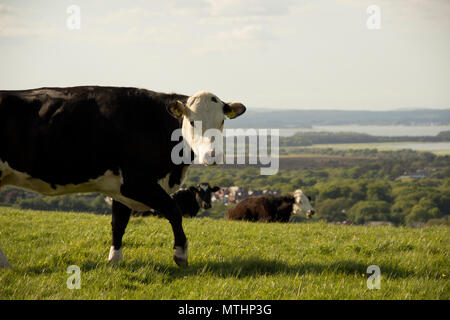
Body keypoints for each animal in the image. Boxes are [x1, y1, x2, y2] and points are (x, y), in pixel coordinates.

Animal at [0, 85, 246, 268]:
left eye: (222, 121)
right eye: (193, 121)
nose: (213, 155)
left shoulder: (119, 187)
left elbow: (118, 222)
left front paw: (114, 260)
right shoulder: (136, 183)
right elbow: (173, 211)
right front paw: (180, 254)